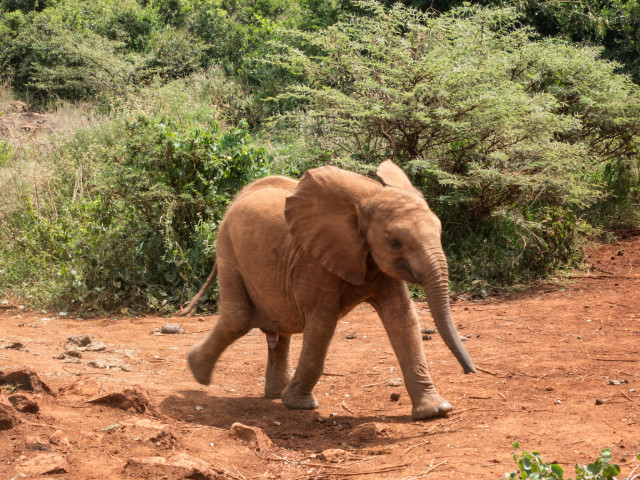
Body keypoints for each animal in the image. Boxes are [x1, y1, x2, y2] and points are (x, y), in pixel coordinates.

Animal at [180, 160, 475, 420]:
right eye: (395, 242)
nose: (471, 371)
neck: (367, 199)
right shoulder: (314, 260)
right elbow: (322, 322)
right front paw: (300, 405)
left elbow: (402, 318)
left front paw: (435, 411)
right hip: (227, 248)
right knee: (238, 318)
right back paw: (197, 372)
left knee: (278, 327)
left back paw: (273, 394)